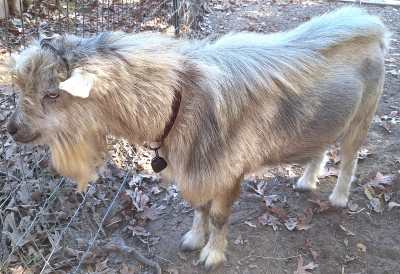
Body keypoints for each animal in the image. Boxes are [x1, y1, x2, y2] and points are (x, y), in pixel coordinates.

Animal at [5, 5, 388, 270]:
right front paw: (193, 238)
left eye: (53, 94)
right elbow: (200, 207)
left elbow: (218, 215)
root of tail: (371, 24)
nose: (12, 129)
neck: (179, 96)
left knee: (350, 157)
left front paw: (213, 254)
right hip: (324, 120)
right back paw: (307, 181)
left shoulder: (227, 168)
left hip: (363, 115)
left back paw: (339, 197)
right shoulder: (198, 165)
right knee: (320, 148)